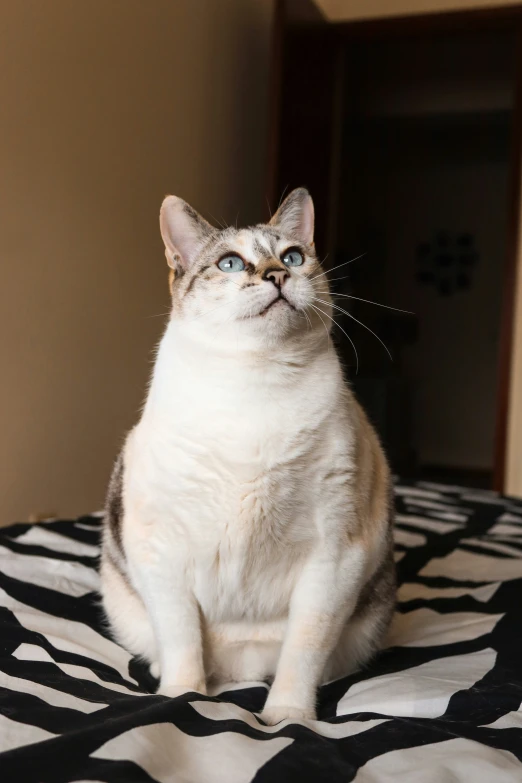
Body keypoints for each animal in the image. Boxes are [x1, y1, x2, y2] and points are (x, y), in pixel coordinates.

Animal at [99, 187, 394, 724]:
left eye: (293, 257)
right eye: (232, 264)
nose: (277, 274)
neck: (256, 382)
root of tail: (241, 673)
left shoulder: (335, 555)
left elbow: (303, 653)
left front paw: (288, 718)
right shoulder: (161, 550)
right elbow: (182, 644)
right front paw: (182, 699)